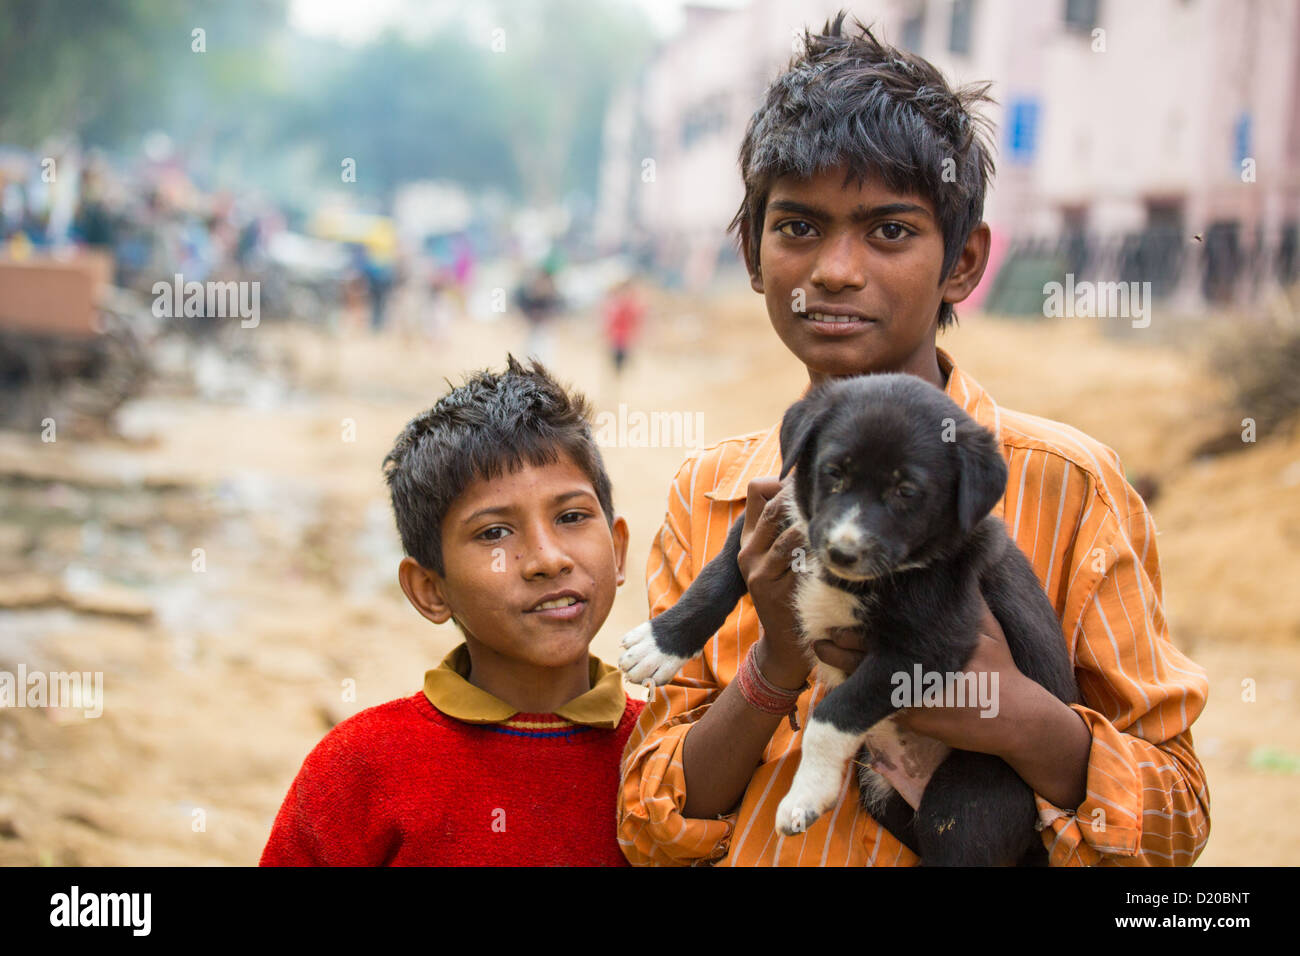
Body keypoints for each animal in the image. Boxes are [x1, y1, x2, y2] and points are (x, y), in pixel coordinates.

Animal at [618, 371, 1076, 868]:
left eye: (906, 492)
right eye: (833, 472)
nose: (840, 552)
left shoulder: (930, 646)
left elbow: (834, 712)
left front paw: (805, 795)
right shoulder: (775, 517)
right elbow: (716, 575)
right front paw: (659, 643)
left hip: (971, 801)